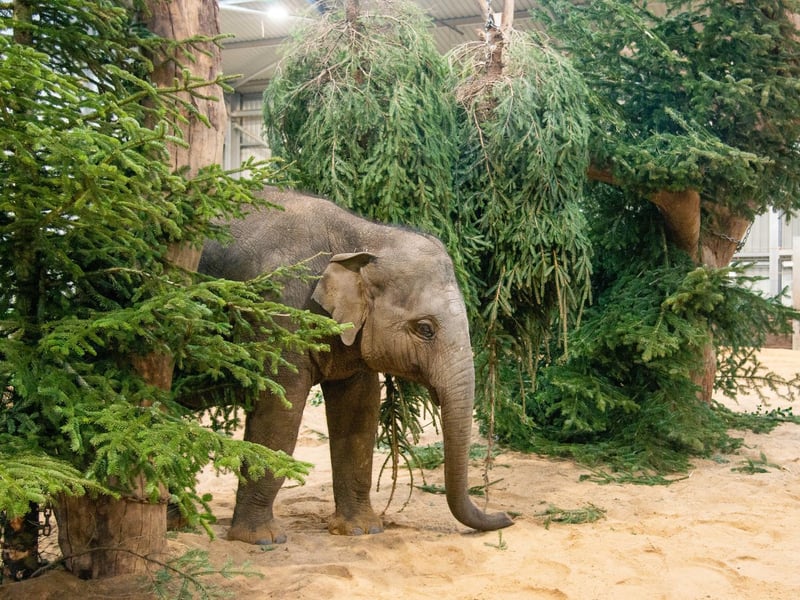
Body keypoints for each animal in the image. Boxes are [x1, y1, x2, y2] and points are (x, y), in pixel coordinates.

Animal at [197, 187, 513, 544]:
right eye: (425, 329)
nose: (507, 516)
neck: (361, 236)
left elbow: (359, 411)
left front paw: (362, 530)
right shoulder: (278, 314)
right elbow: (278, 413)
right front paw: (262, 539)